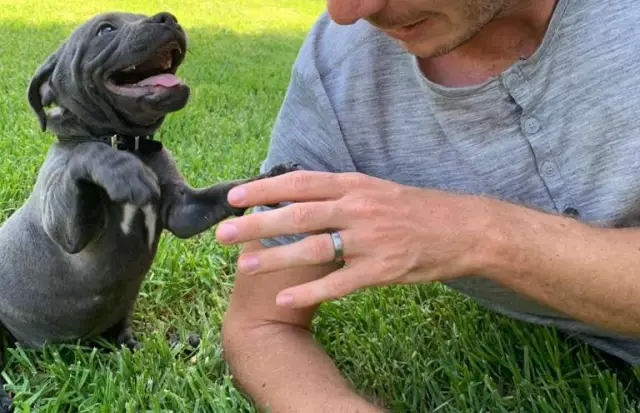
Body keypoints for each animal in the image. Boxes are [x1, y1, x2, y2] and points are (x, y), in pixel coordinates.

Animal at [0, 9, 296, 408]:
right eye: (105, 29)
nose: (168, 18)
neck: (132, 143)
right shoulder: (68, 232)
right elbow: (86, 153)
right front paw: (121, 170)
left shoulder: (184, 210)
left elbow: (227, 191)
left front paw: (272, 179)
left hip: (121, 312)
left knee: (122, 339)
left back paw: (169, 345)